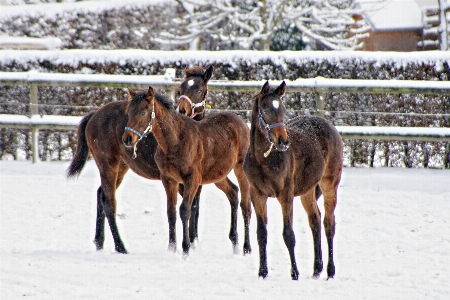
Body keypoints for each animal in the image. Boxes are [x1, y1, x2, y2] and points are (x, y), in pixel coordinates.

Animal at [66, 65, 214, 253]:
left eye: (200, 89)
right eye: (180, 89)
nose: (182, 110)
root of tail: (94, 115)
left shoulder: (196, 181)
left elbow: (195, 207)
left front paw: (193, 242)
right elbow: (182, 209)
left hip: (121, 167)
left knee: (101, 194)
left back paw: (99, 242)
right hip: (108, 165)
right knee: (108, 201)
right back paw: (120, 246)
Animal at [121, 86, 251, 255]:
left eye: (143, 112)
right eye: (129, 112)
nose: (127, 139)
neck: (174, 141)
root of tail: (241, 122)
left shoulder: (192, 180)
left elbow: (185, 210)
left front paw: (186, 249)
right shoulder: (169, 180)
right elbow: (171, 212)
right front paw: (171, 248)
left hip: (239, 169)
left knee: (245, 205)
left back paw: (247, 248)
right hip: (217, 174)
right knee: (233, 193)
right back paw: (234, 242)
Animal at [244, 81, 342, 280]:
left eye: (282, 108)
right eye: (265, 108)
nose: (283, 141)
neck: (263, 159)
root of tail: (329, 126)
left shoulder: (285, 196)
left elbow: (288, 235)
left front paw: (294, 273)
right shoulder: (257, 195)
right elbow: (261, 234)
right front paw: (262, 272)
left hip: (329, 185)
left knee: (329, 223)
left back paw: (330, 271)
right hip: (308, 190)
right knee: (315, 220)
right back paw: (316, 269)